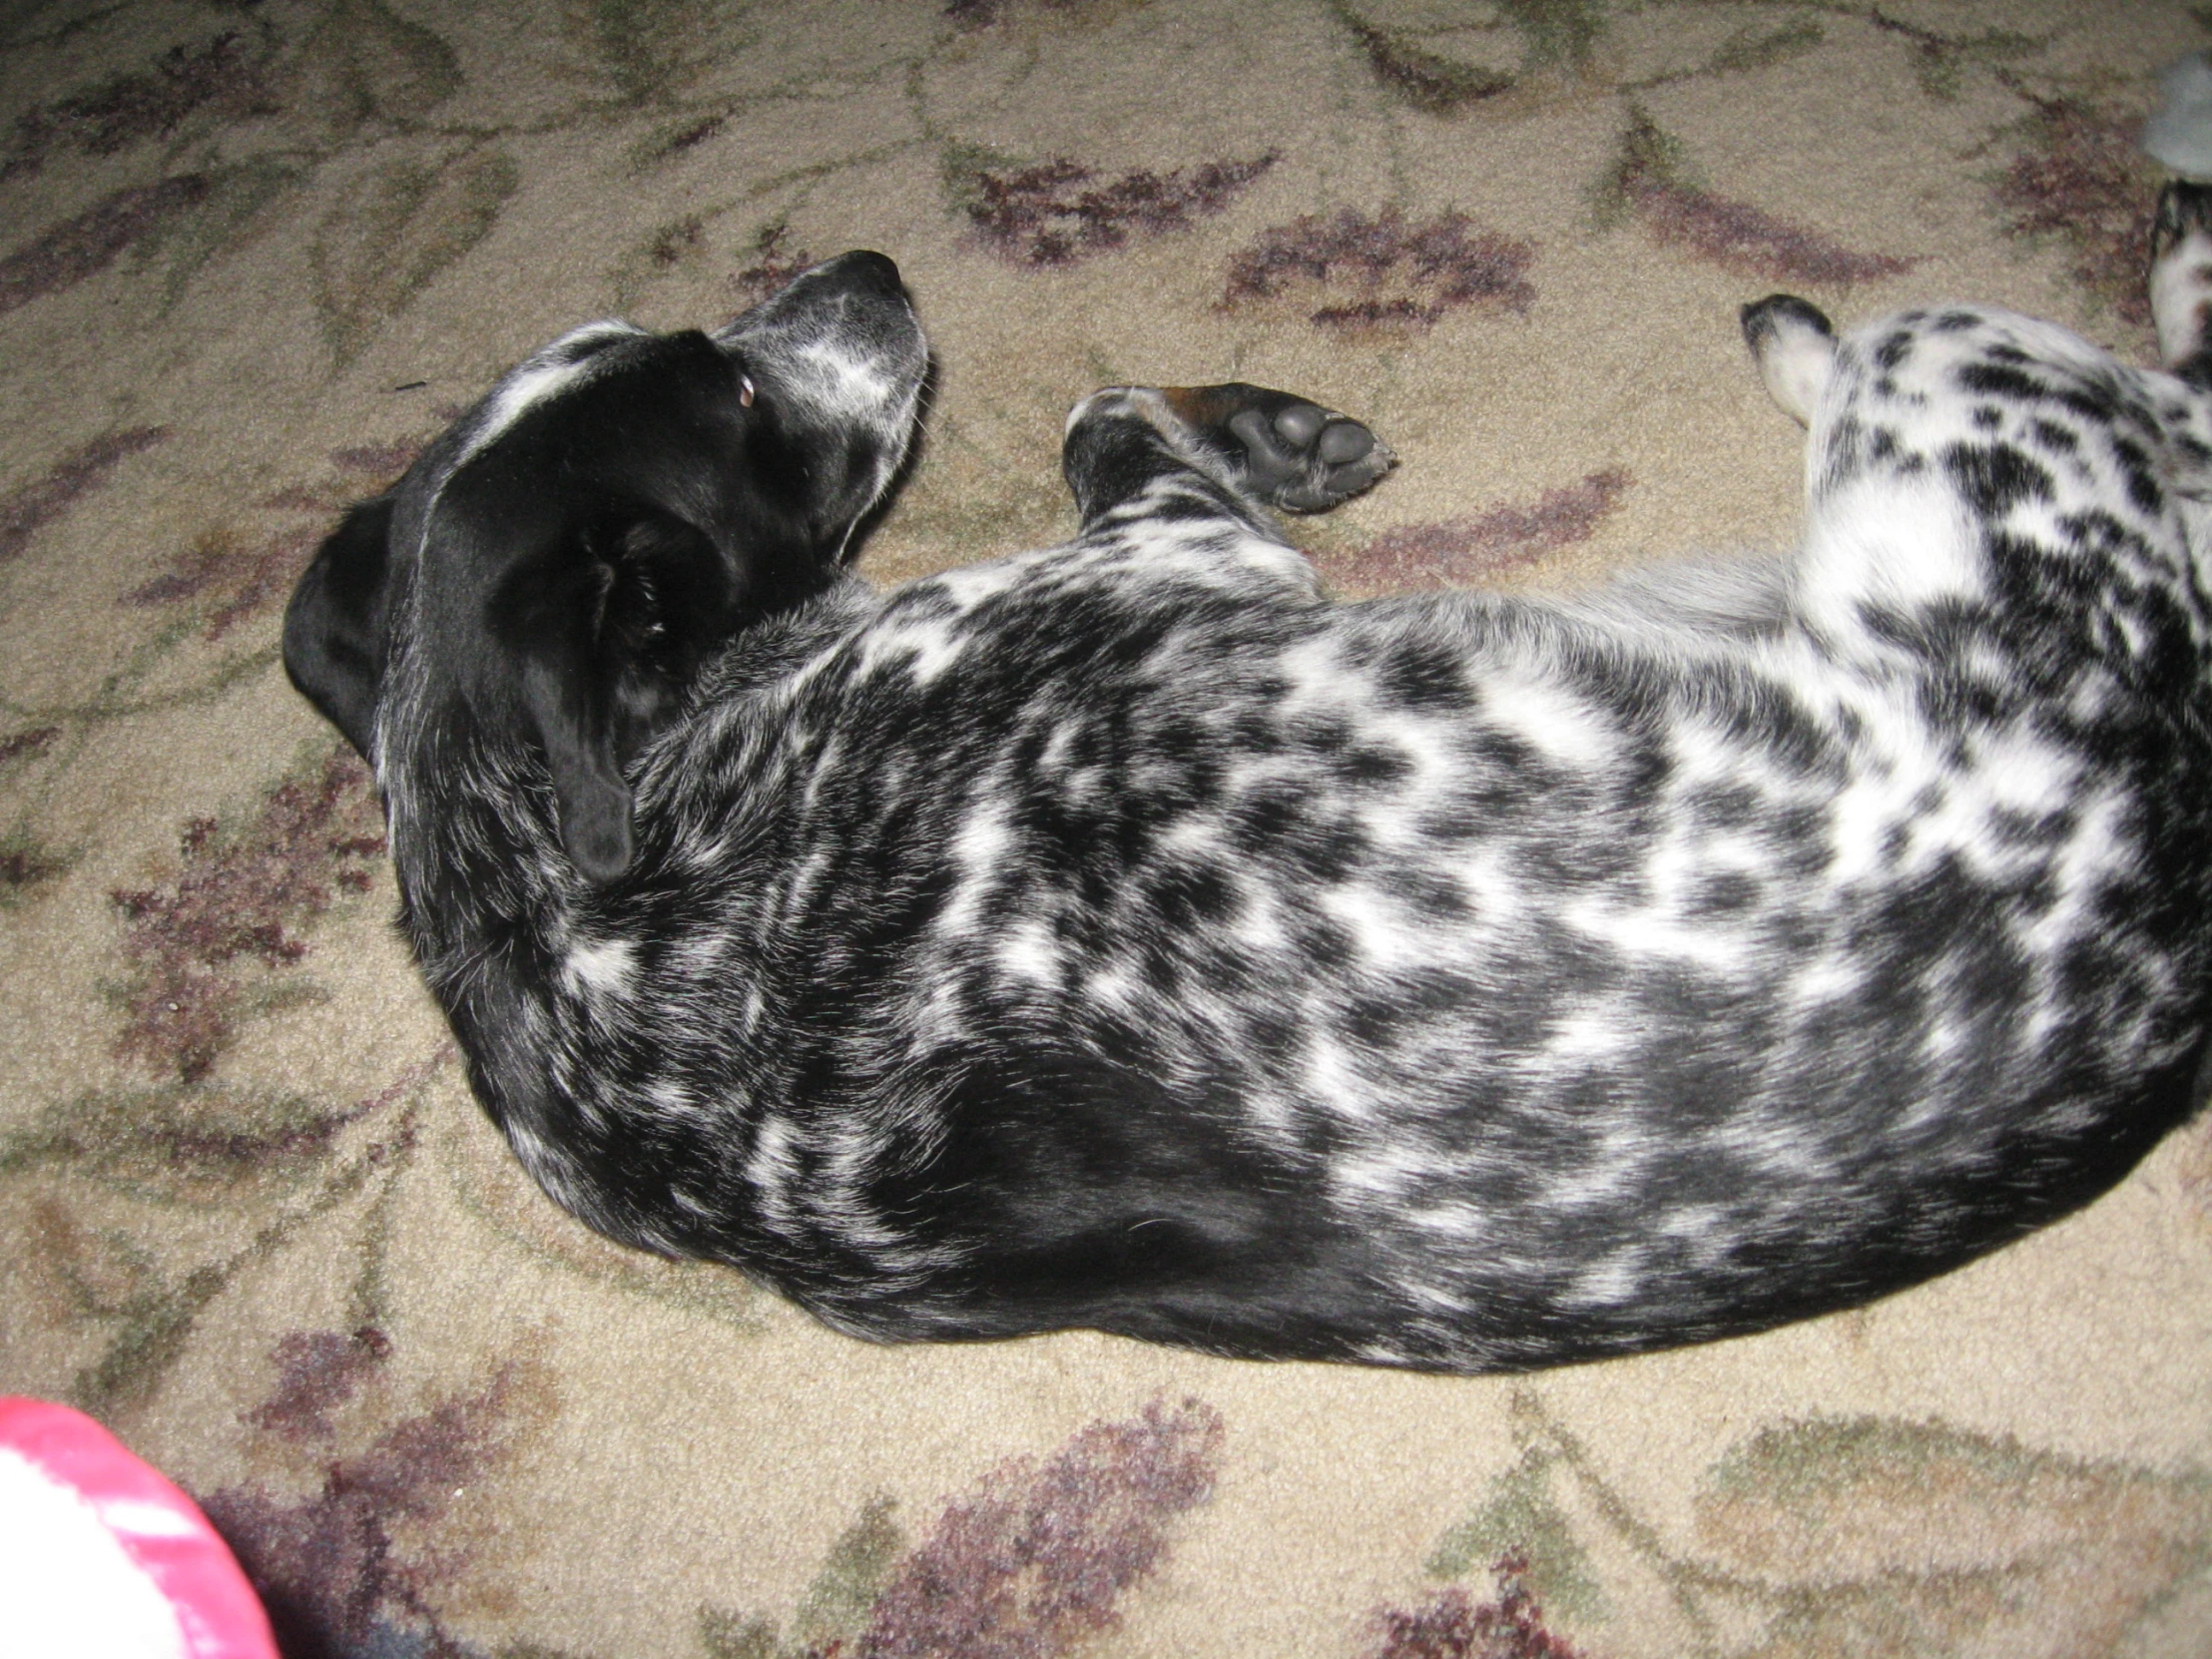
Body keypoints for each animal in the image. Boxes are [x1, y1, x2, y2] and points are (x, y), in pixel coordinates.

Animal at [284, 185, 2212, 1380]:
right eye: (739, 392)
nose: (874, 267)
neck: (565, 900)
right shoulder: (1180, 556)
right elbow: (1103, 406)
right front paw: (1263, 426)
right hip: (1963, 374)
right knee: (2157, 391)